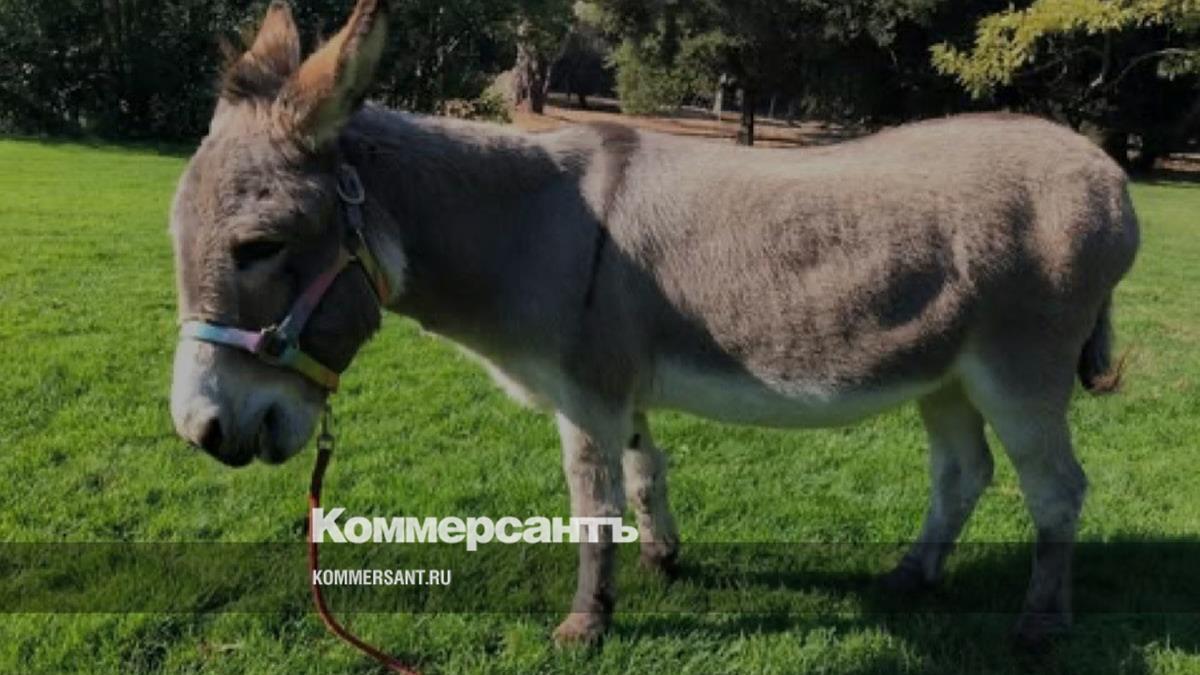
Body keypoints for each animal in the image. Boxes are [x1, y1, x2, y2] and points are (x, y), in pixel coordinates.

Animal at [169, 0, 1140, 651]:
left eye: (259, 246)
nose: (201, 430)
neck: (527, 226)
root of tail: (1109, 175)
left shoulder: (586, 390)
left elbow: (590, 501)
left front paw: (585, 622)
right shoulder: (620, 387)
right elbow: (643, 471)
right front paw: (661, 561)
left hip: (1020, 367)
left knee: (1058, 487)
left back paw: (1040, 623)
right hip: (945, 371)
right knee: (964, 470)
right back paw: (911, 574)